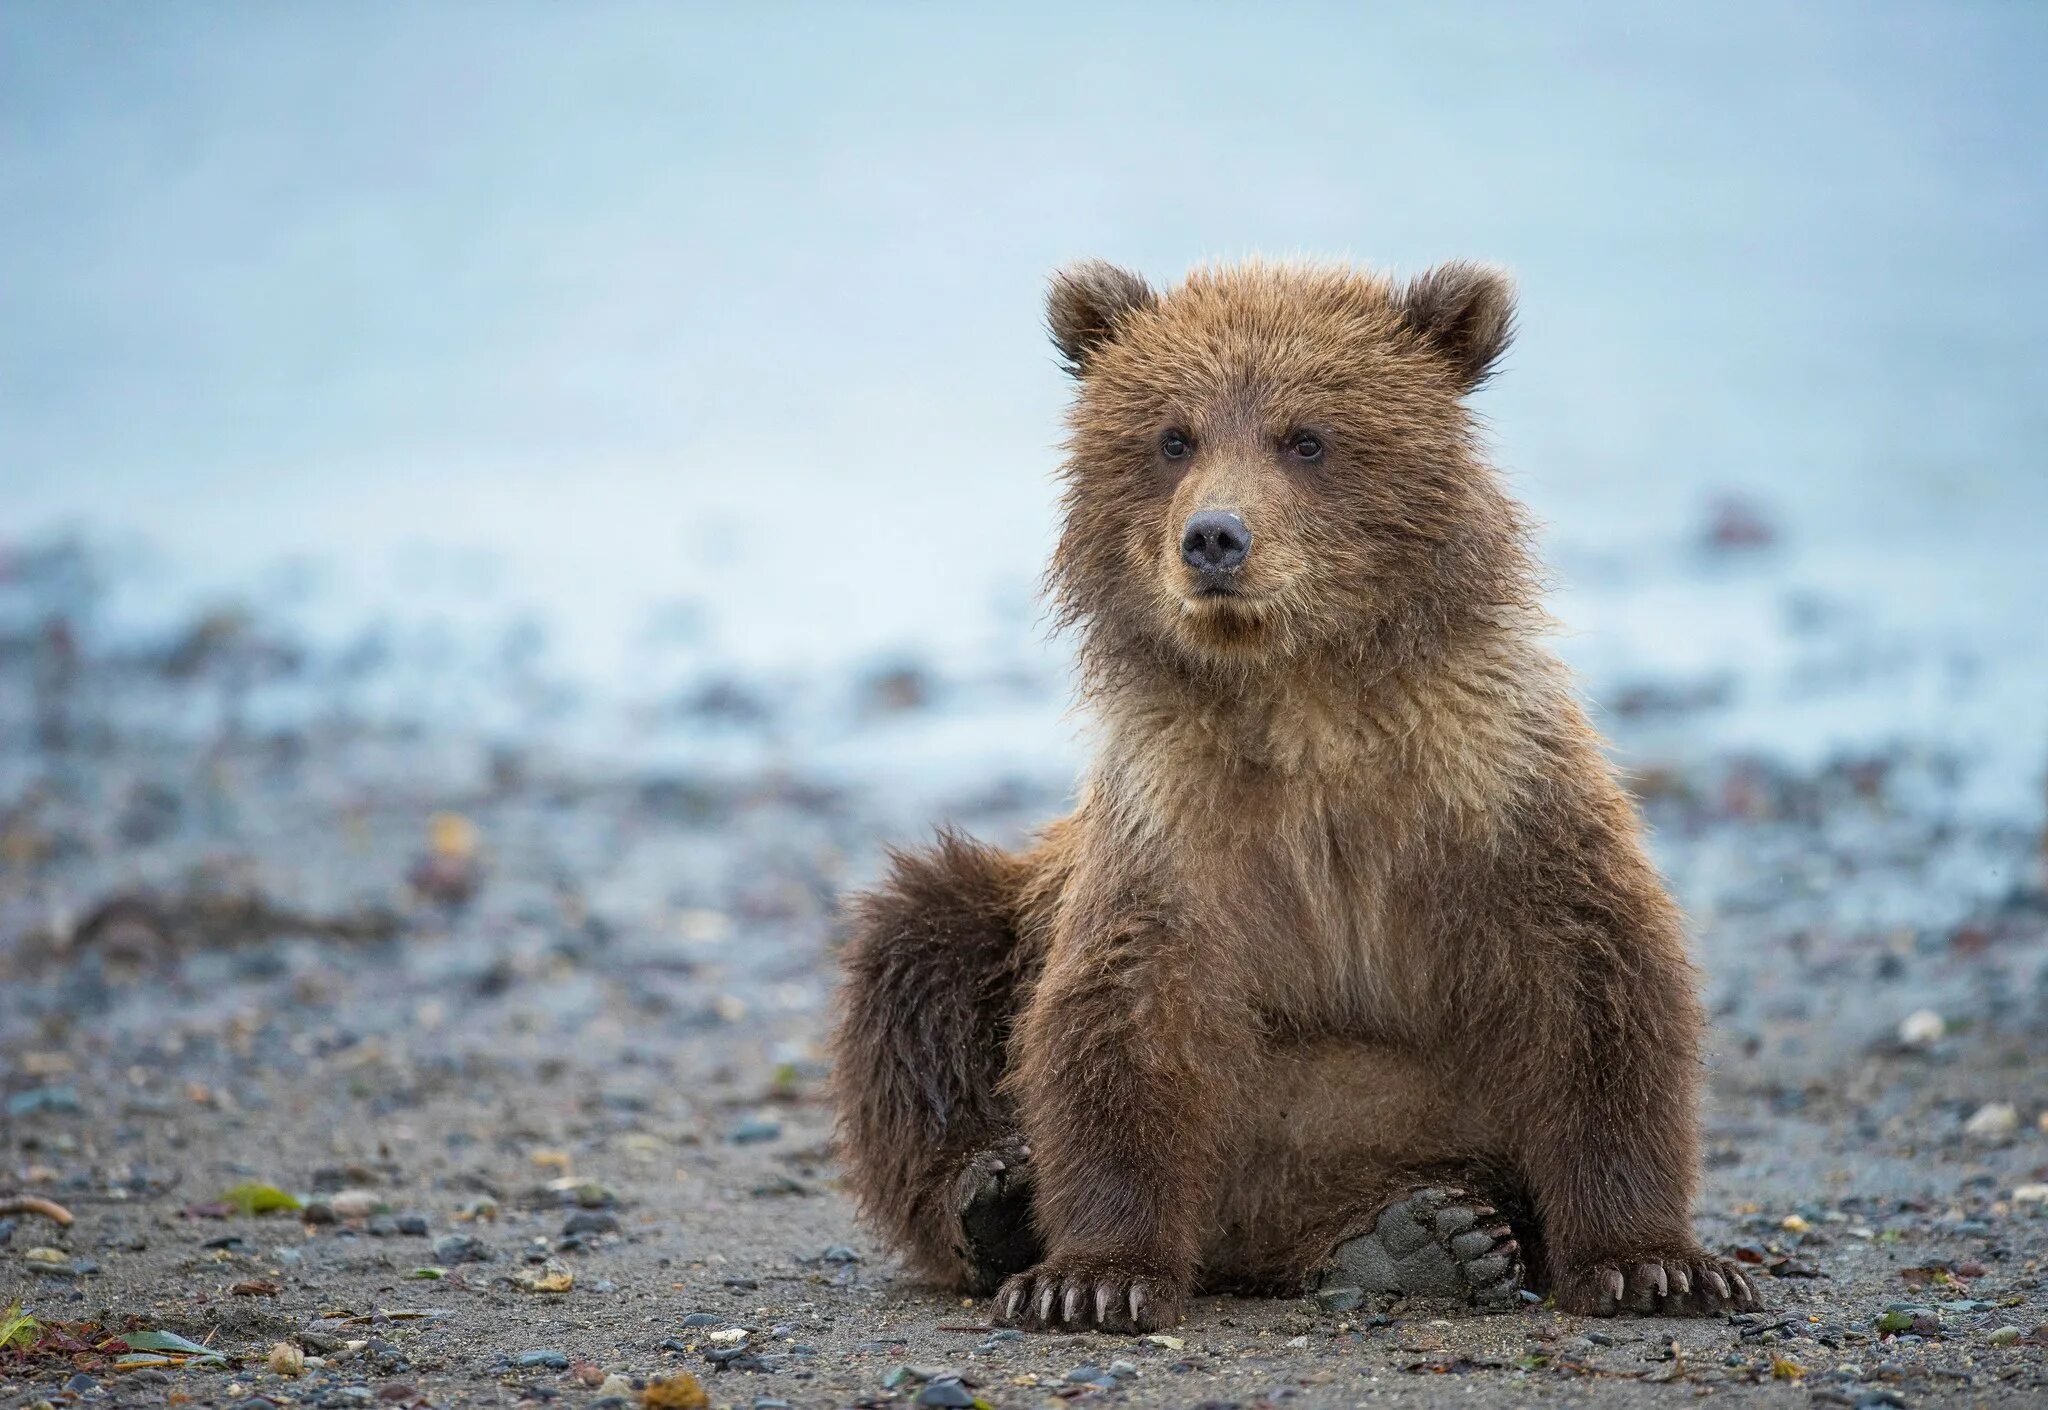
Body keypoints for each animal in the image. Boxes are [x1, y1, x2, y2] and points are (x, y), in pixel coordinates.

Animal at [827, 259, 1761, 1328]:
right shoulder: (1177, 825)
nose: (1214, 537)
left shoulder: (1498, 789)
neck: (1305, 697)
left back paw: (1424, 1236)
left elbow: (1597, 982)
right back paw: (993, 1196)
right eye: (1174, 436)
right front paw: (1092, 1277)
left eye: (1306, 437)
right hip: (1015, 918)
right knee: (917, 950)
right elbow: (1127, 1015)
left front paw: (1657, 1263)